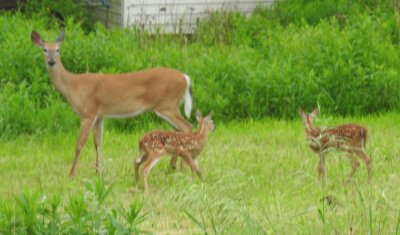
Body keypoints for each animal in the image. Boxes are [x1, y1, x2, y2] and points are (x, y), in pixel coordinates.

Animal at [31, 29, 194, 176]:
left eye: (57, 50)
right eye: (45, 49)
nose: (51, 61)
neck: (74, 86)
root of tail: (186, 78)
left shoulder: (88, 113)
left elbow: (79, 145)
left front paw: (71, 174)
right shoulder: (99, 116)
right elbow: (98, 143)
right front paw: (98, 172)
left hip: (167, 105)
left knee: (187, 127)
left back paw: (182, 168)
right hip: (169, 107)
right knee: (179, 131)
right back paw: (172, 167)